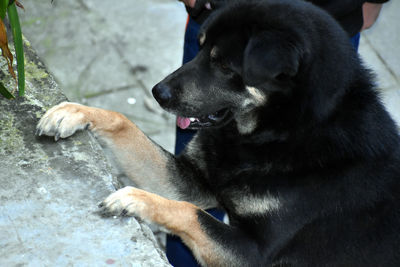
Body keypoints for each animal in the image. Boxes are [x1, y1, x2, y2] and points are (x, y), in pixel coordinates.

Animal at [38, 1, 400, 266]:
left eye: (224, 65)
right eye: (199, 49)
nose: (158, 92)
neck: (276, 133)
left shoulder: (252, 253)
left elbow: (190, 212)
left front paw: (133, 198)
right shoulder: (191, 183)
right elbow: (123, 122)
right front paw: (75, 112)